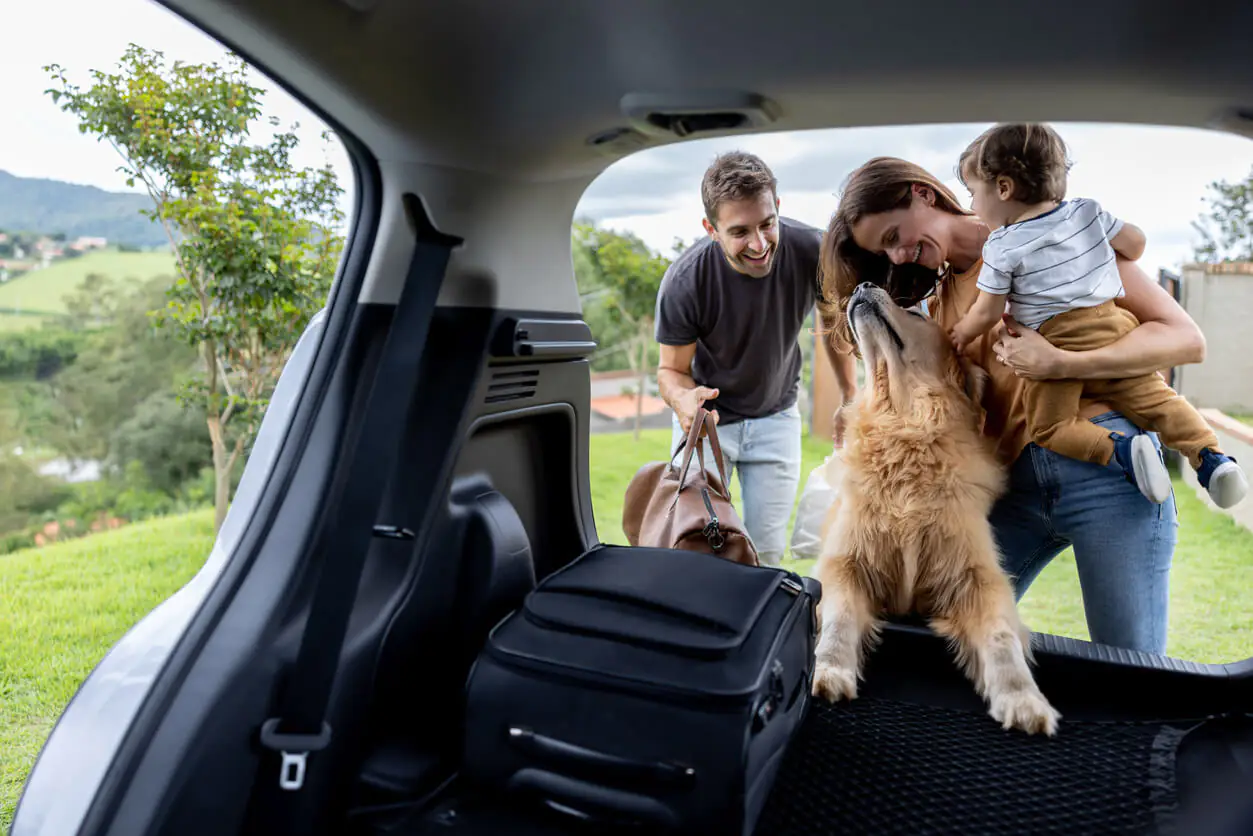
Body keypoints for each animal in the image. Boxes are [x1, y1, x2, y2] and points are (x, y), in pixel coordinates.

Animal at [811, 283, 1057, 736]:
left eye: (916, 313)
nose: (863, 285)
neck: (906, 429)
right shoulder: (845, 563)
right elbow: (838, 618)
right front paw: (830, 672)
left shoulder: (978, 578)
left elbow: (1001, 638)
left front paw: (1022, 698)